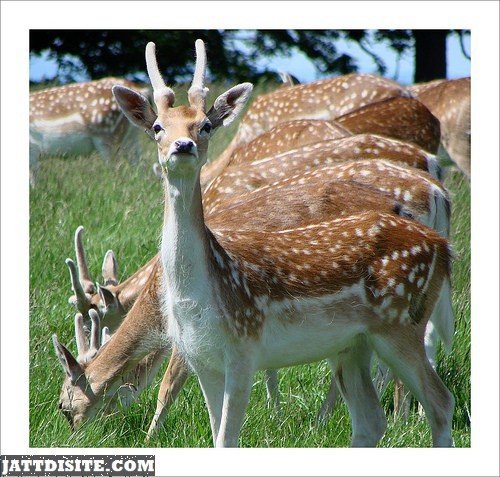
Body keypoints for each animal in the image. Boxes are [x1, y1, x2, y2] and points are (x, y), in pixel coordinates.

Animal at [103, 38, 456, 446]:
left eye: (205, 125)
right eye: (158, 126)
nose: (183, 145)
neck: (200, 296)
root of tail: (443, 247)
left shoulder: (244, 348)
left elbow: (227, 438)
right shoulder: (202, 359)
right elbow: (214, 434)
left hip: (399, 324)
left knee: (440, 400)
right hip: (356, 343)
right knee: (371, 419)